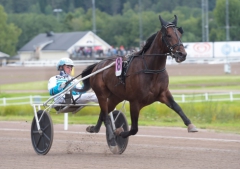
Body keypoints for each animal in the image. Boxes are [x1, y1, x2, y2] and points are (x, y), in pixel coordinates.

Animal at [78, 14, 198, 151]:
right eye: (168, 35)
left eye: (179, 34)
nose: (182, 54)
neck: (151, 69)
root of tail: (98, 65)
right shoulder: (135, 101)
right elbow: (134, 129)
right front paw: (119, 132)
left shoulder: (163, 94)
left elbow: (177, 107)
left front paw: (191, 125)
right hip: (101, 93)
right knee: (106, 115)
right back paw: (112, 139)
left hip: (116, 96)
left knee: (105, 112)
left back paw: (94, 128)